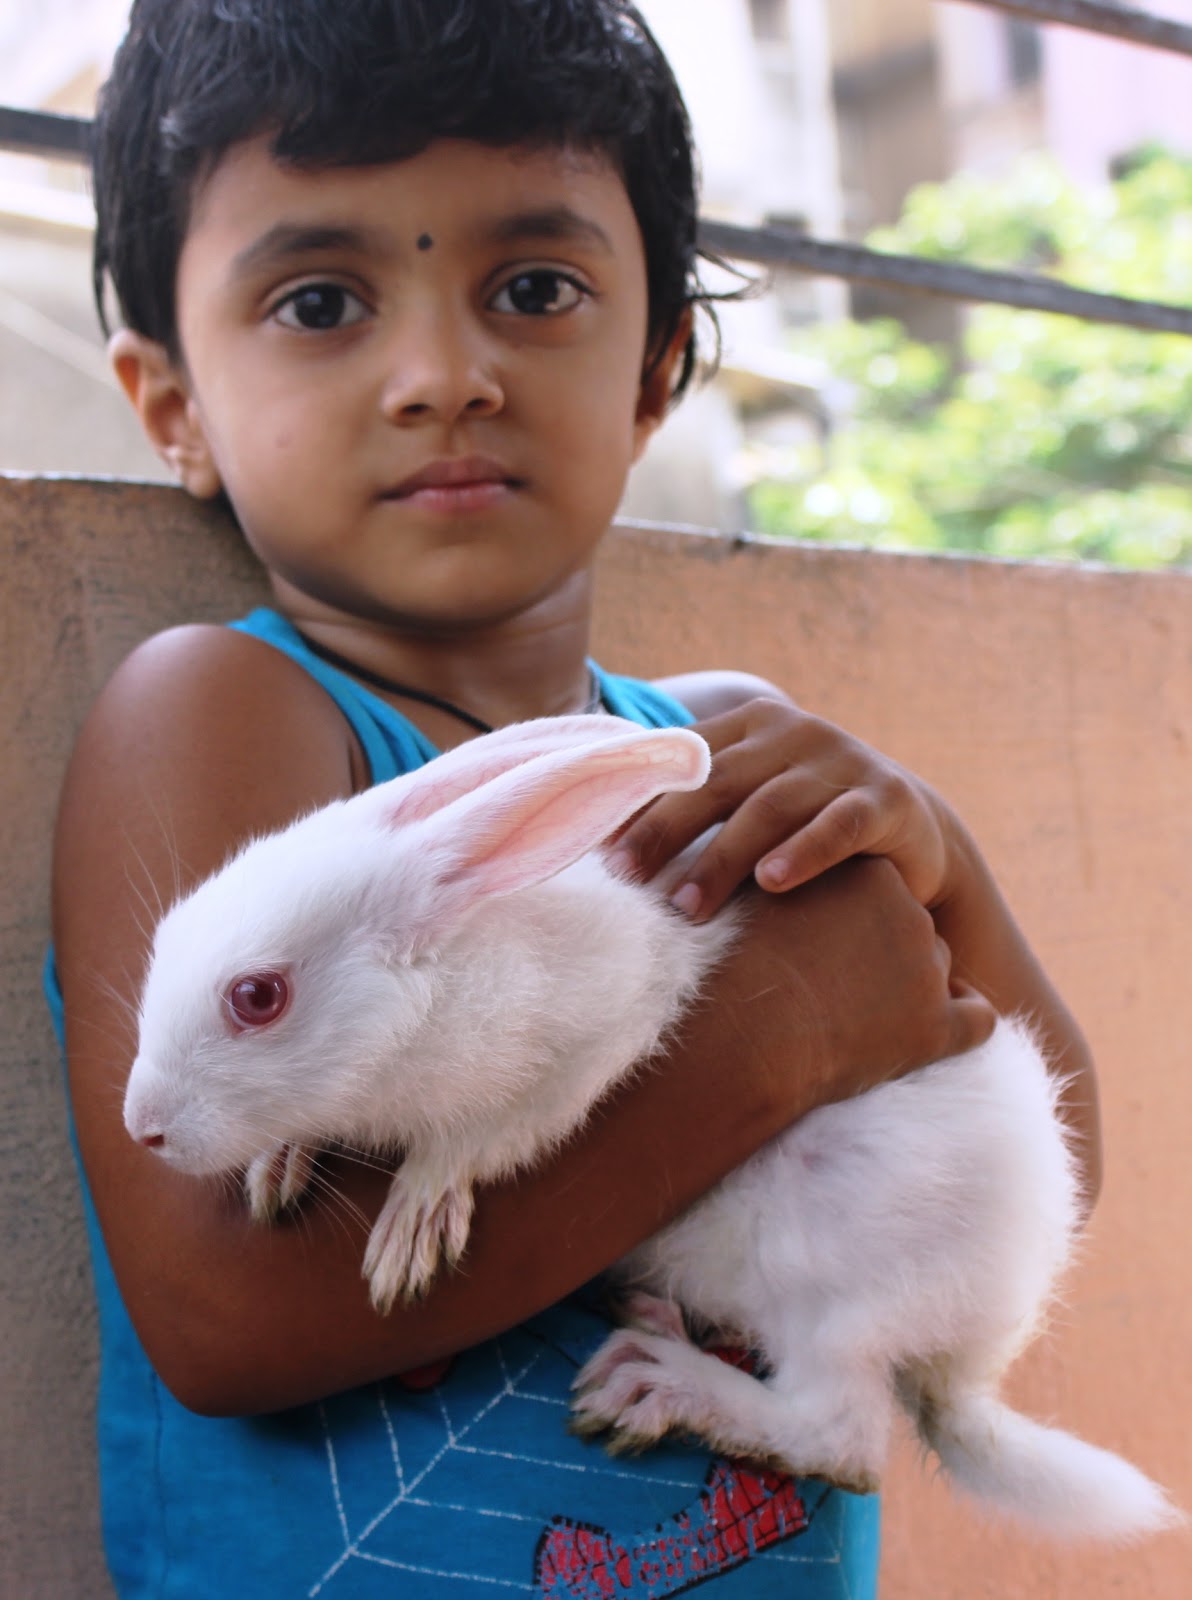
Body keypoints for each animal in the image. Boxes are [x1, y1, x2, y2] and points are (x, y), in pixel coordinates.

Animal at [123, 714, 1180, 1541]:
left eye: (258, 997)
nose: (142, 1129)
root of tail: (978, 1350)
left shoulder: (593, 1039)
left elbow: (490, 1135)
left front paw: (412, 1228)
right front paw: (278, 1164)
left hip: (840, 1286)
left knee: (838, 1435)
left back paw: (662, 1383)